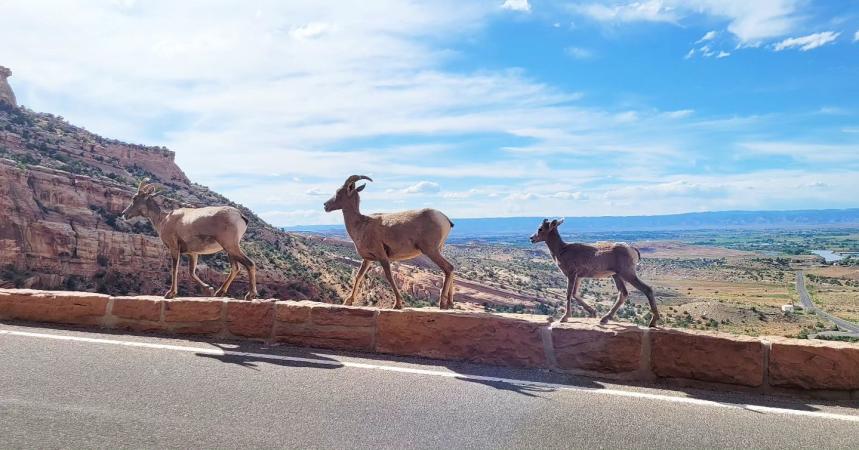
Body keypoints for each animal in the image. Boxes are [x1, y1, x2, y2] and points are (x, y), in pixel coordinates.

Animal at [121, 181, 258, 300]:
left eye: (134, 198)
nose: (124, 214)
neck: (163, 220)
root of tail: (241, 216)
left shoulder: (174, 247)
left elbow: (174, 269)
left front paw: (170, 293)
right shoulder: (193, 253)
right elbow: (191, 272)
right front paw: (209, 289)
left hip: (230, 245)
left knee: (249, 263)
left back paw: (250, 295)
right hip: (229, 248)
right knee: (235, 268)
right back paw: (219, 292)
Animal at [323, 175, 455, 309]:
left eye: (338, 192)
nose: (325, 205)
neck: (361, 224)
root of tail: (444, 219)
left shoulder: (382, 256)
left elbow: (389, 277)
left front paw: (397, 304)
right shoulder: (368, 259)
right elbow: (359, 276)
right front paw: (348, 301)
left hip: (430, 250)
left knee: (448, 268)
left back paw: (442, 304)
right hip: (437, 250)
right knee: (450, 269)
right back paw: (450, 304)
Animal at [530, 219, 660, 327]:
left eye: (540, 228)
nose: (531, 238)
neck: (562, 250)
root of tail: (632, 250)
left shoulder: (571, 275)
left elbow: (568, 294)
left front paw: (564, 318)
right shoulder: (579, 277)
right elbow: (575, 294)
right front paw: (593, 313)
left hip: (627, 273)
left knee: (647, 289)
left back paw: (653, 322)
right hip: (616, 275)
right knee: (623, 293)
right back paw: (604, 319)